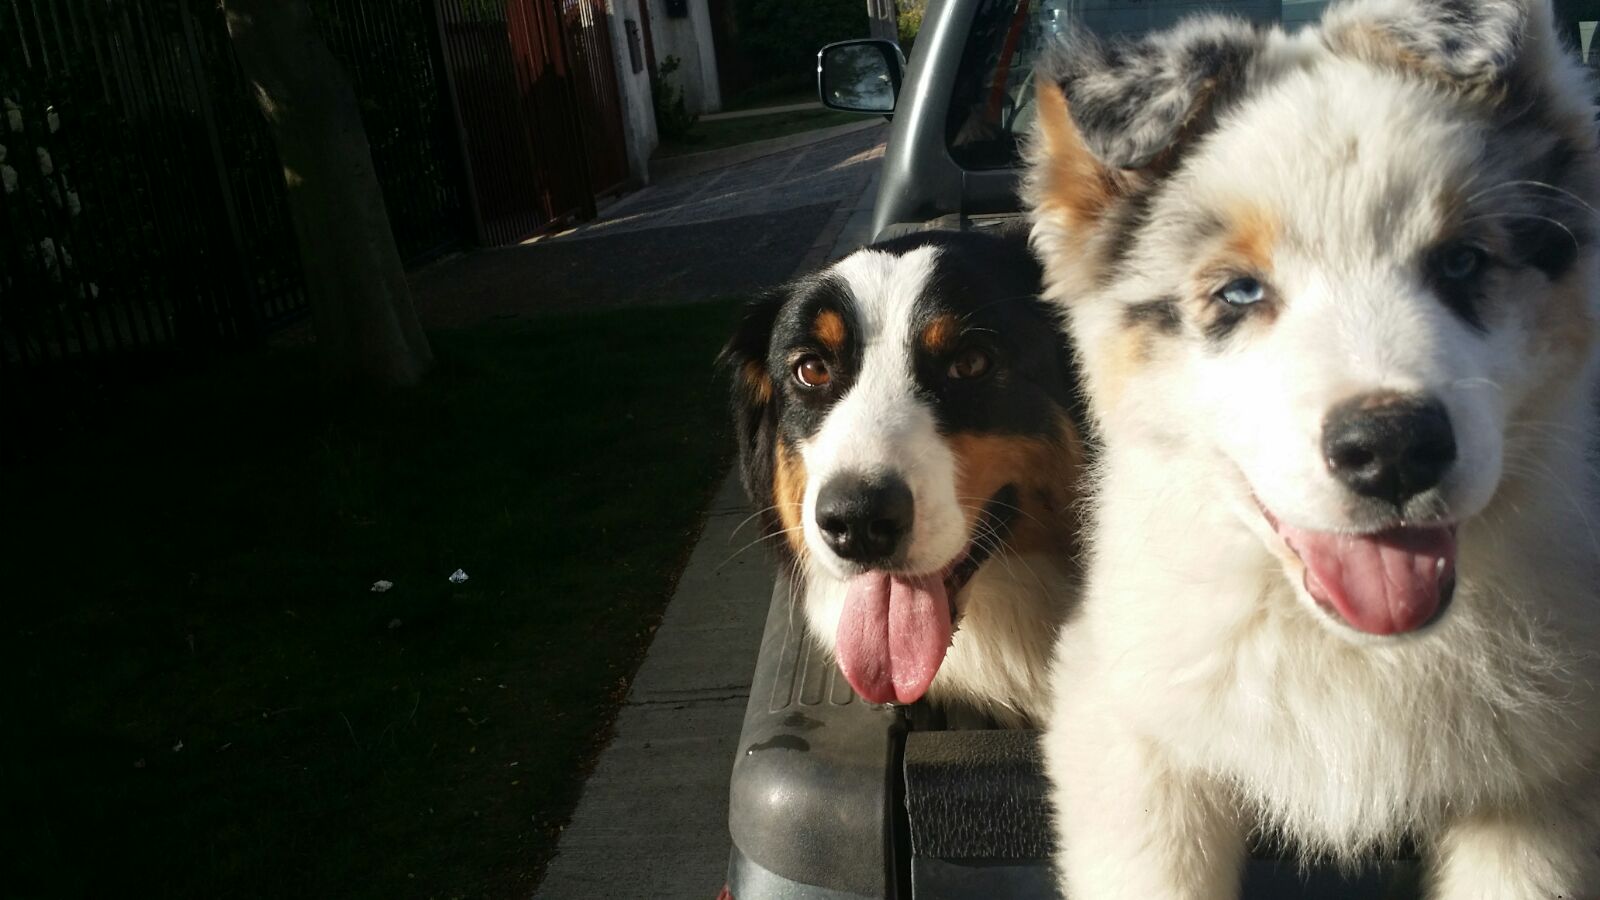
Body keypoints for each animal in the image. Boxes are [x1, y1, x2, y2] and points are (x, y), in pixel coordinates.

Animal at [1024, 0, 1600, 890]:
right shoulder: (1127, 726)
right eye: (1238, 292)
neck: (1353, 650)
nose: (1393, 448)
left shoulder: (1545, 788)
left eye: (1461, 262)